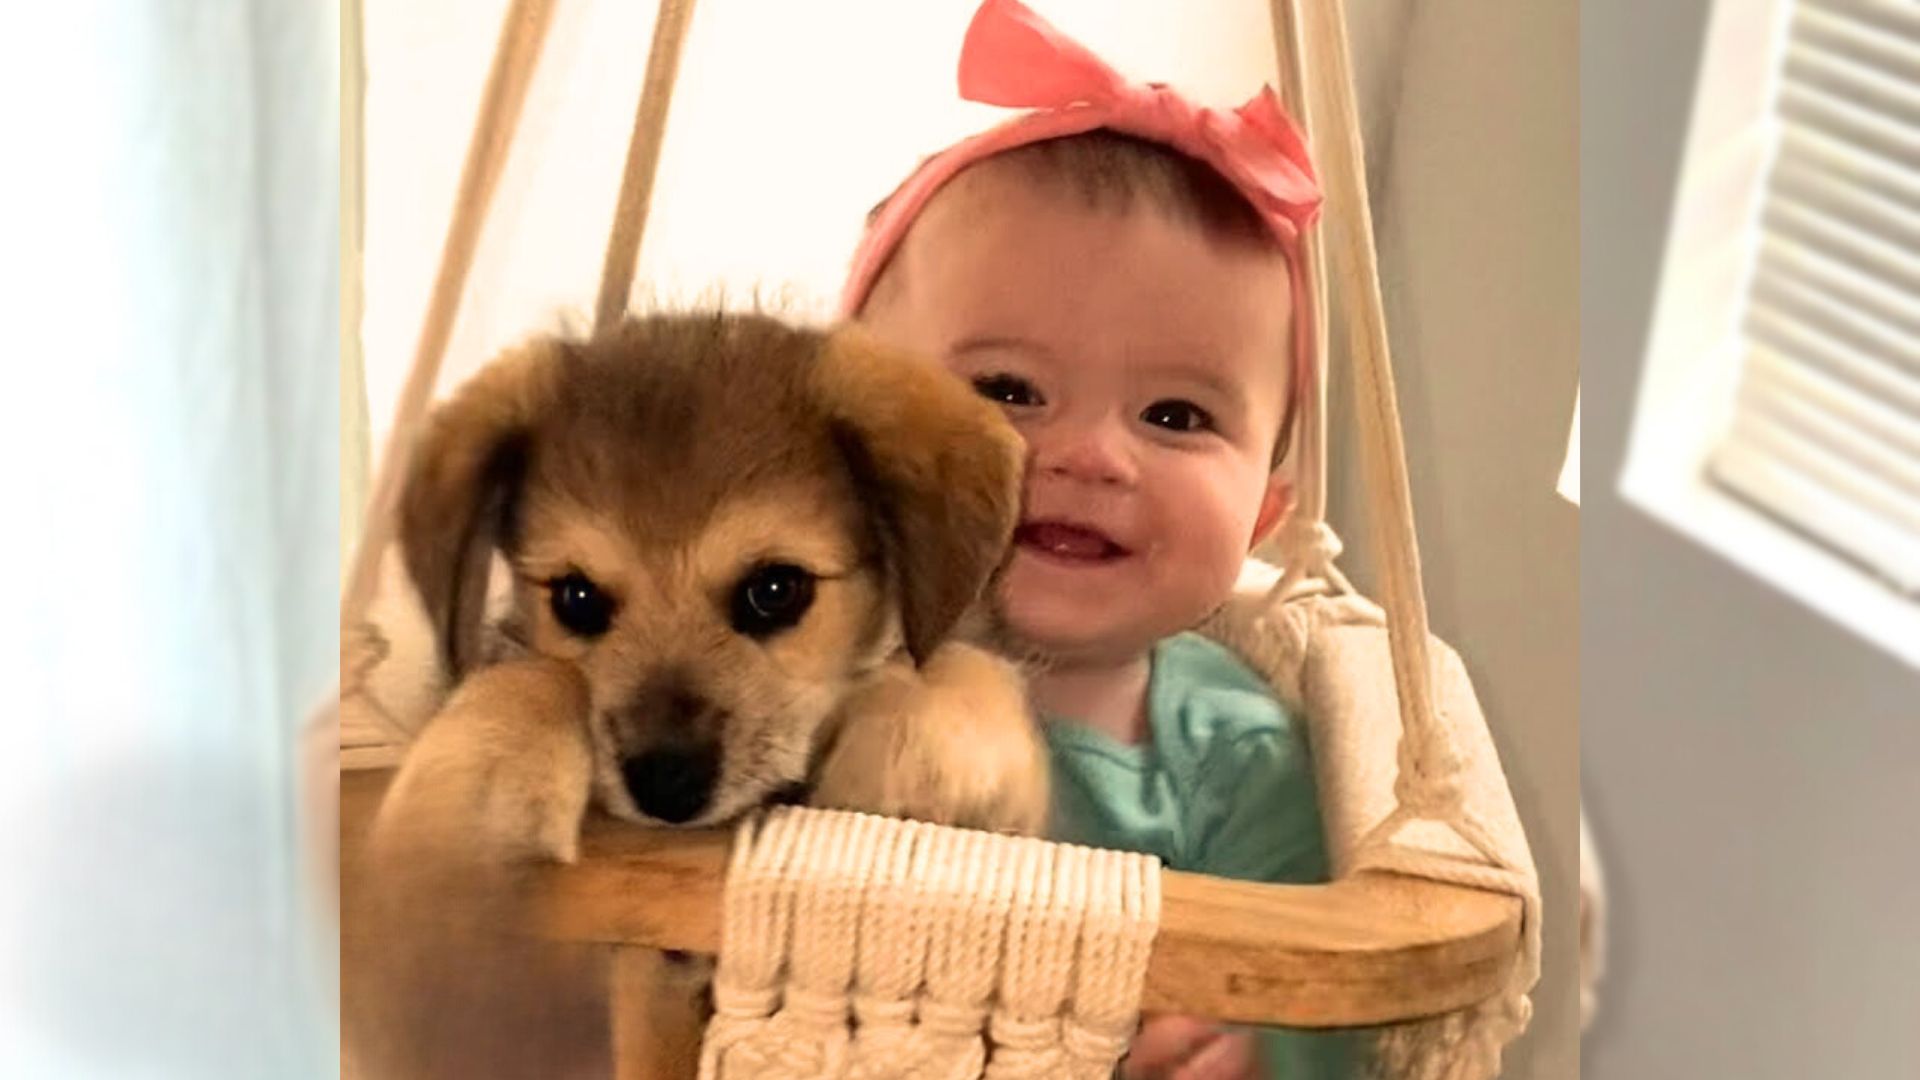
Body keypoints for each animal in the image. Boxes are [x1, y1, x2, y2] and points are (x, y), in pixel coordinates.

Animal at [345, 313, 1052, 1076]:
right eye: (576, 598)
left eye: (775, 589)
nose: (667, 784)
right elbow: (531, 679)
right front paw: (478, 785)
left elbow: (955, 665)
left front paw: (919, 740)